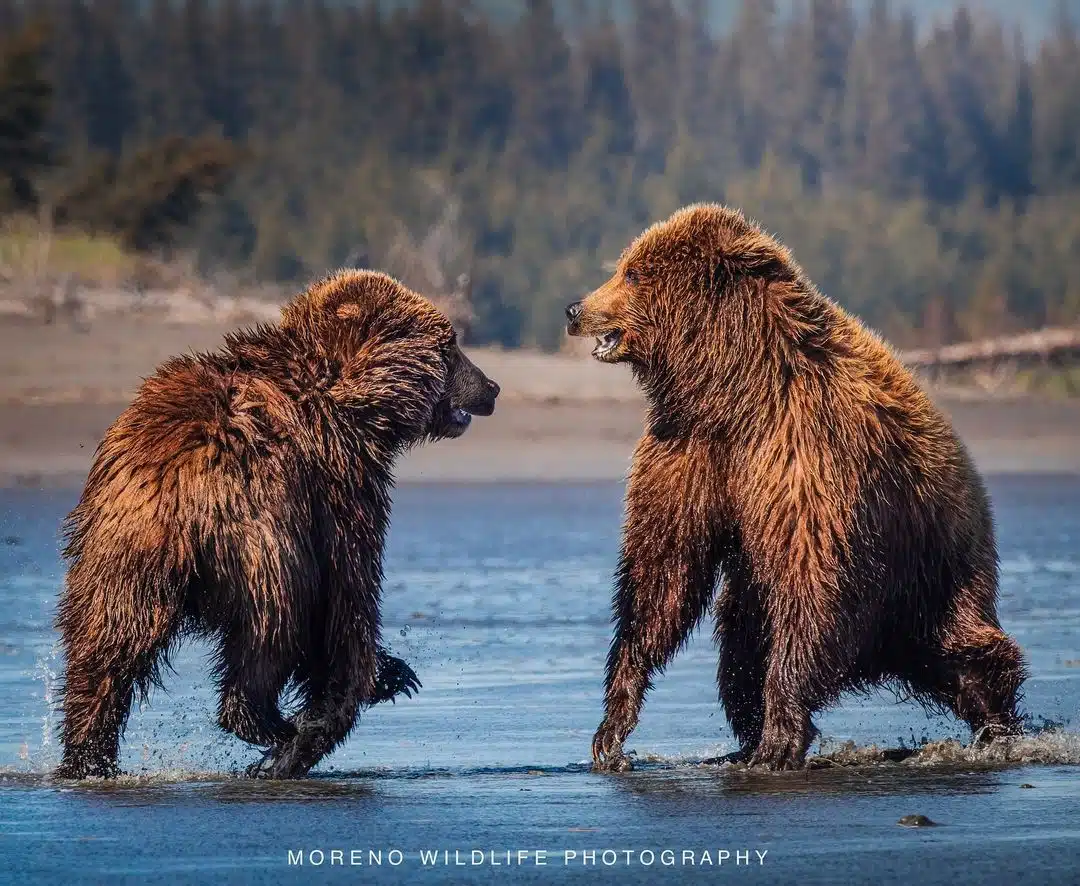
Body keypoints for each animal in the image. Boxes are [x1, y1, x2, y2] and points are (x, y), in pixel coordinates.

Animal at [53, 266, 496, 777]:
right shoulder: (339, 485)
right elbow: (347, 601)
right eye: (451, 345)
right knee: (274, 627)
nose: (491, 387)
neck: (348, 399)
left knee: (107, 646)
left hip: (123, 549)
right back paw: (271, 726)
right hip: (264, 541)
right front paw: (375, 681)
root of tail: (184, 489)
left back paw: (88, 756)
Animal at [565, 204, 1028, 773]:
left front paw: (781, 736)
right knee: (742, 646)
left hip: (938, 565)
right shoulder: (689, 452)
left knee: (965, 651)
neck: (734, 388)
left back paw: (999, 724)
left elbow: (810, 579)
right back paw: (743, 736)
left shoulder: (806, 455)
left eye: (629, 273)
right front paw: (611, 731)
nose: (575, 309)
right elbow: (662, 573)